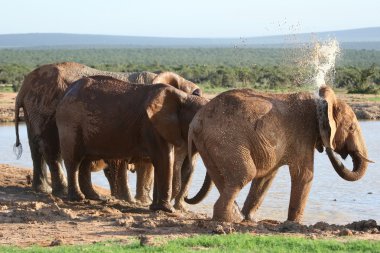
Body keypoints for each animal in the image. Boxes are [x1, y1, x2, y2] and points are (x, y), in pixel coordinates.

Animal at [13, 60, 200, 204]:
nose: (183, 204)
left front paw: (141, 202)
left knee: (36, 148)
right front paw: (131, 201)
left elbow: (146, 163)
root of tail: (24, 87)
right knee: (51, 148)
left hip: (35, 111)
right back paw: (63, 192)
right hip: (45, 109)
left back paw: (42, 190)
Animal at [55, 74, 208, 211]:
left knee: (85, 161)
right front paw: (167, 210)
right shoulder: (152, 126)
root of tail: (67, 91)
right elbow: (164, 159)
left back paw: (95, 197)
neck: (183, 98)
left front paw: (155, 208)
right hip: (70, 122)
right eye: (196, 128)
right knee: (74, 160)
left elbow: (160, 162)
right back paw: (77, 198)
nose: (187, 198)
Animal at [187, 86, 372, 222]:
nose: (329, 149)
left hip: (208, 143)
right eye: (351, 128)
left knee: (221, 177)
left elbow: (267, 176)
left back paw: (236, 216)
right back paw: (228, 220)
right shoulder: (303, 135)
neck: (322, 103)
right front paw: (294, 224)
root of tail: (196, 120)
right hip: (225, 139)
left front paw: (250, 219)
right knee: (245, 174)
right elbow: (304, 175)